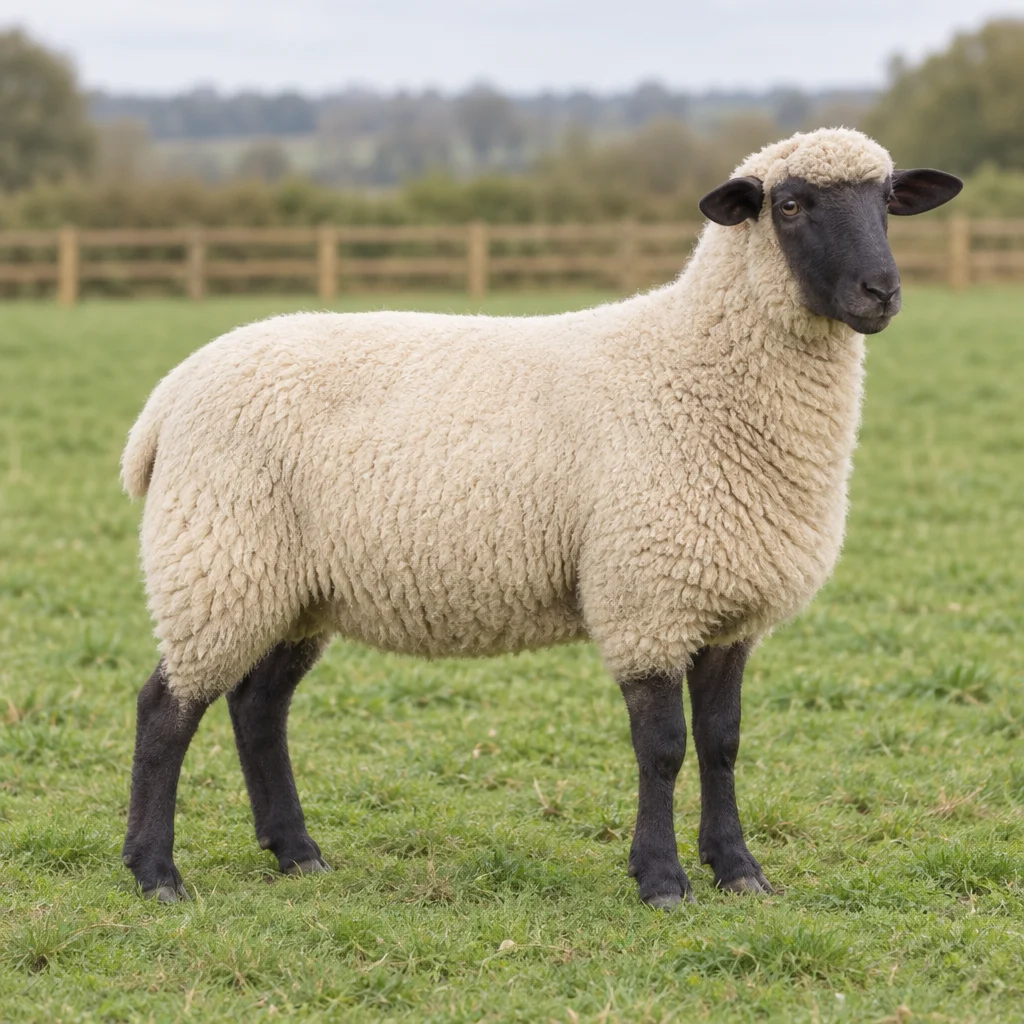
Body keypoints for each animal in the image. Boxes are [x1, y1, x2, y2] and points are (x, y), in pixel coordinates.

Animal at [119, 128, 962, 906]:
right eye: (789, 206)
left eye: (889, 202)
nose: (880, 293)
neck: (695, 365)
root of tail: (168, 397)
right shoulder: (646, 598)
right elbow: (663, 748)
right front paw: (661, 879)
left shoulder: (727, 606)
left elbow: (723, 743)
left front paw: (738, 870)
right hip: (217, 559)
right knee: (167, 709)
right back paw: (157, 873)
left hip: (293, 585)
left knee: (259, 706)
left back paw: (295, 851)